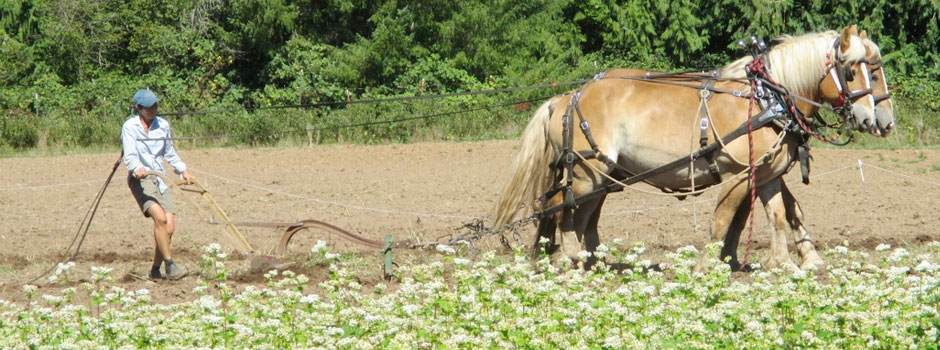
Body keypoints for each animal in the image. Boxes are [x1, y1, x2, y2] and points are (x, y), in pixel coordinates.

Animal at [492, 26, 888, 270]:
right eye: (854, 70)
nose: (879, 120)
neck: (767, 98)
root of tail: (568, 96)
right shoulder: (740, 173)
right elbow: (724, 219)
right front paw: (707, 265)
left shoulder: (768, 173)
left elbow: (779, 213)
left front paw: (784, 263)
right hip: (586, 173)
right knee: (559, 208)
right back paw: (569, 259)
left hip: (601, 176)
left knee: (582, 214)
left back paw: (592, 260)